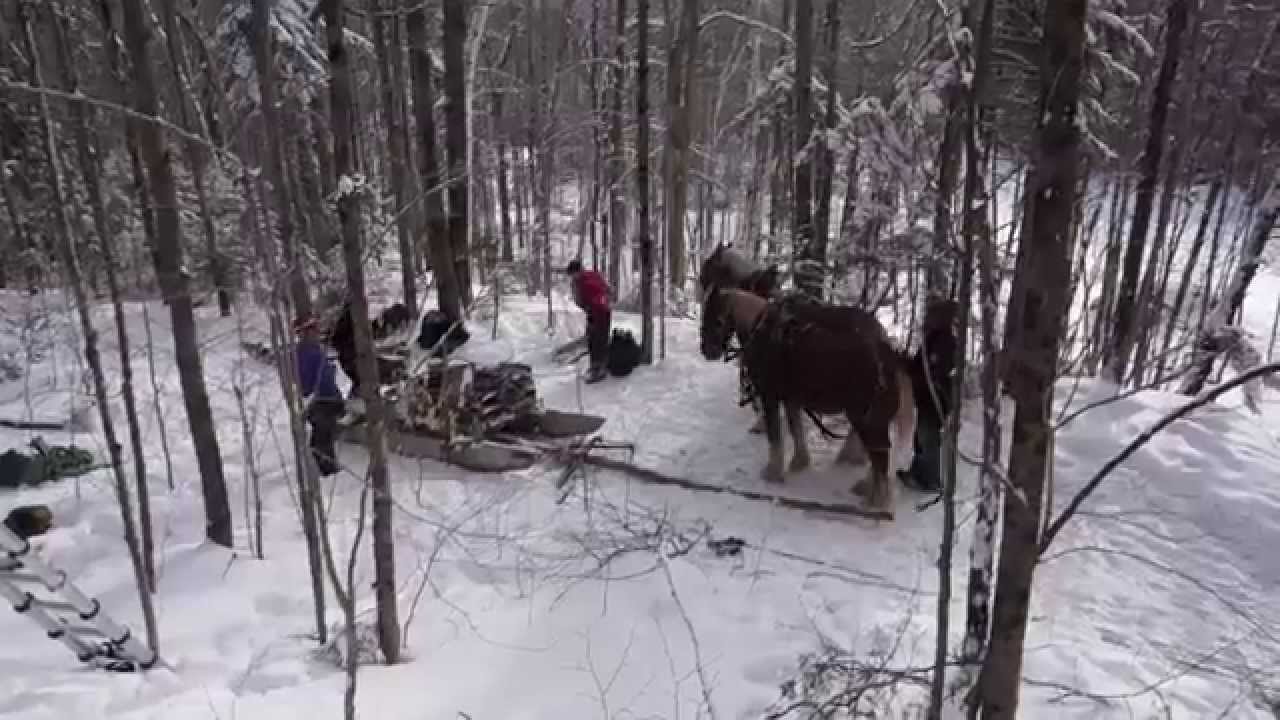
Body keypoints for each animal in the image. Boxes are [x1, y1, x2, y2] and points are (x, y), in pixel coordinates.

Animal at [699, 286, 917, 518]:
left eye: (718, 320)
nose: (707, 350)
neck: (762, 331)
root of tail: (889, 356)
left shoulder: (770, 396)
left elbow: (775, 436)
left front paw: (773, 473)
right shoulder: (792, 398)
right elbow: (796, 429)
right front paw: (799, 462)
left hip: (867, 419)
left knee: (880, 457)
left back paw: (876, 503)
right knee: (879, 455)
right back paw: (865, 486)